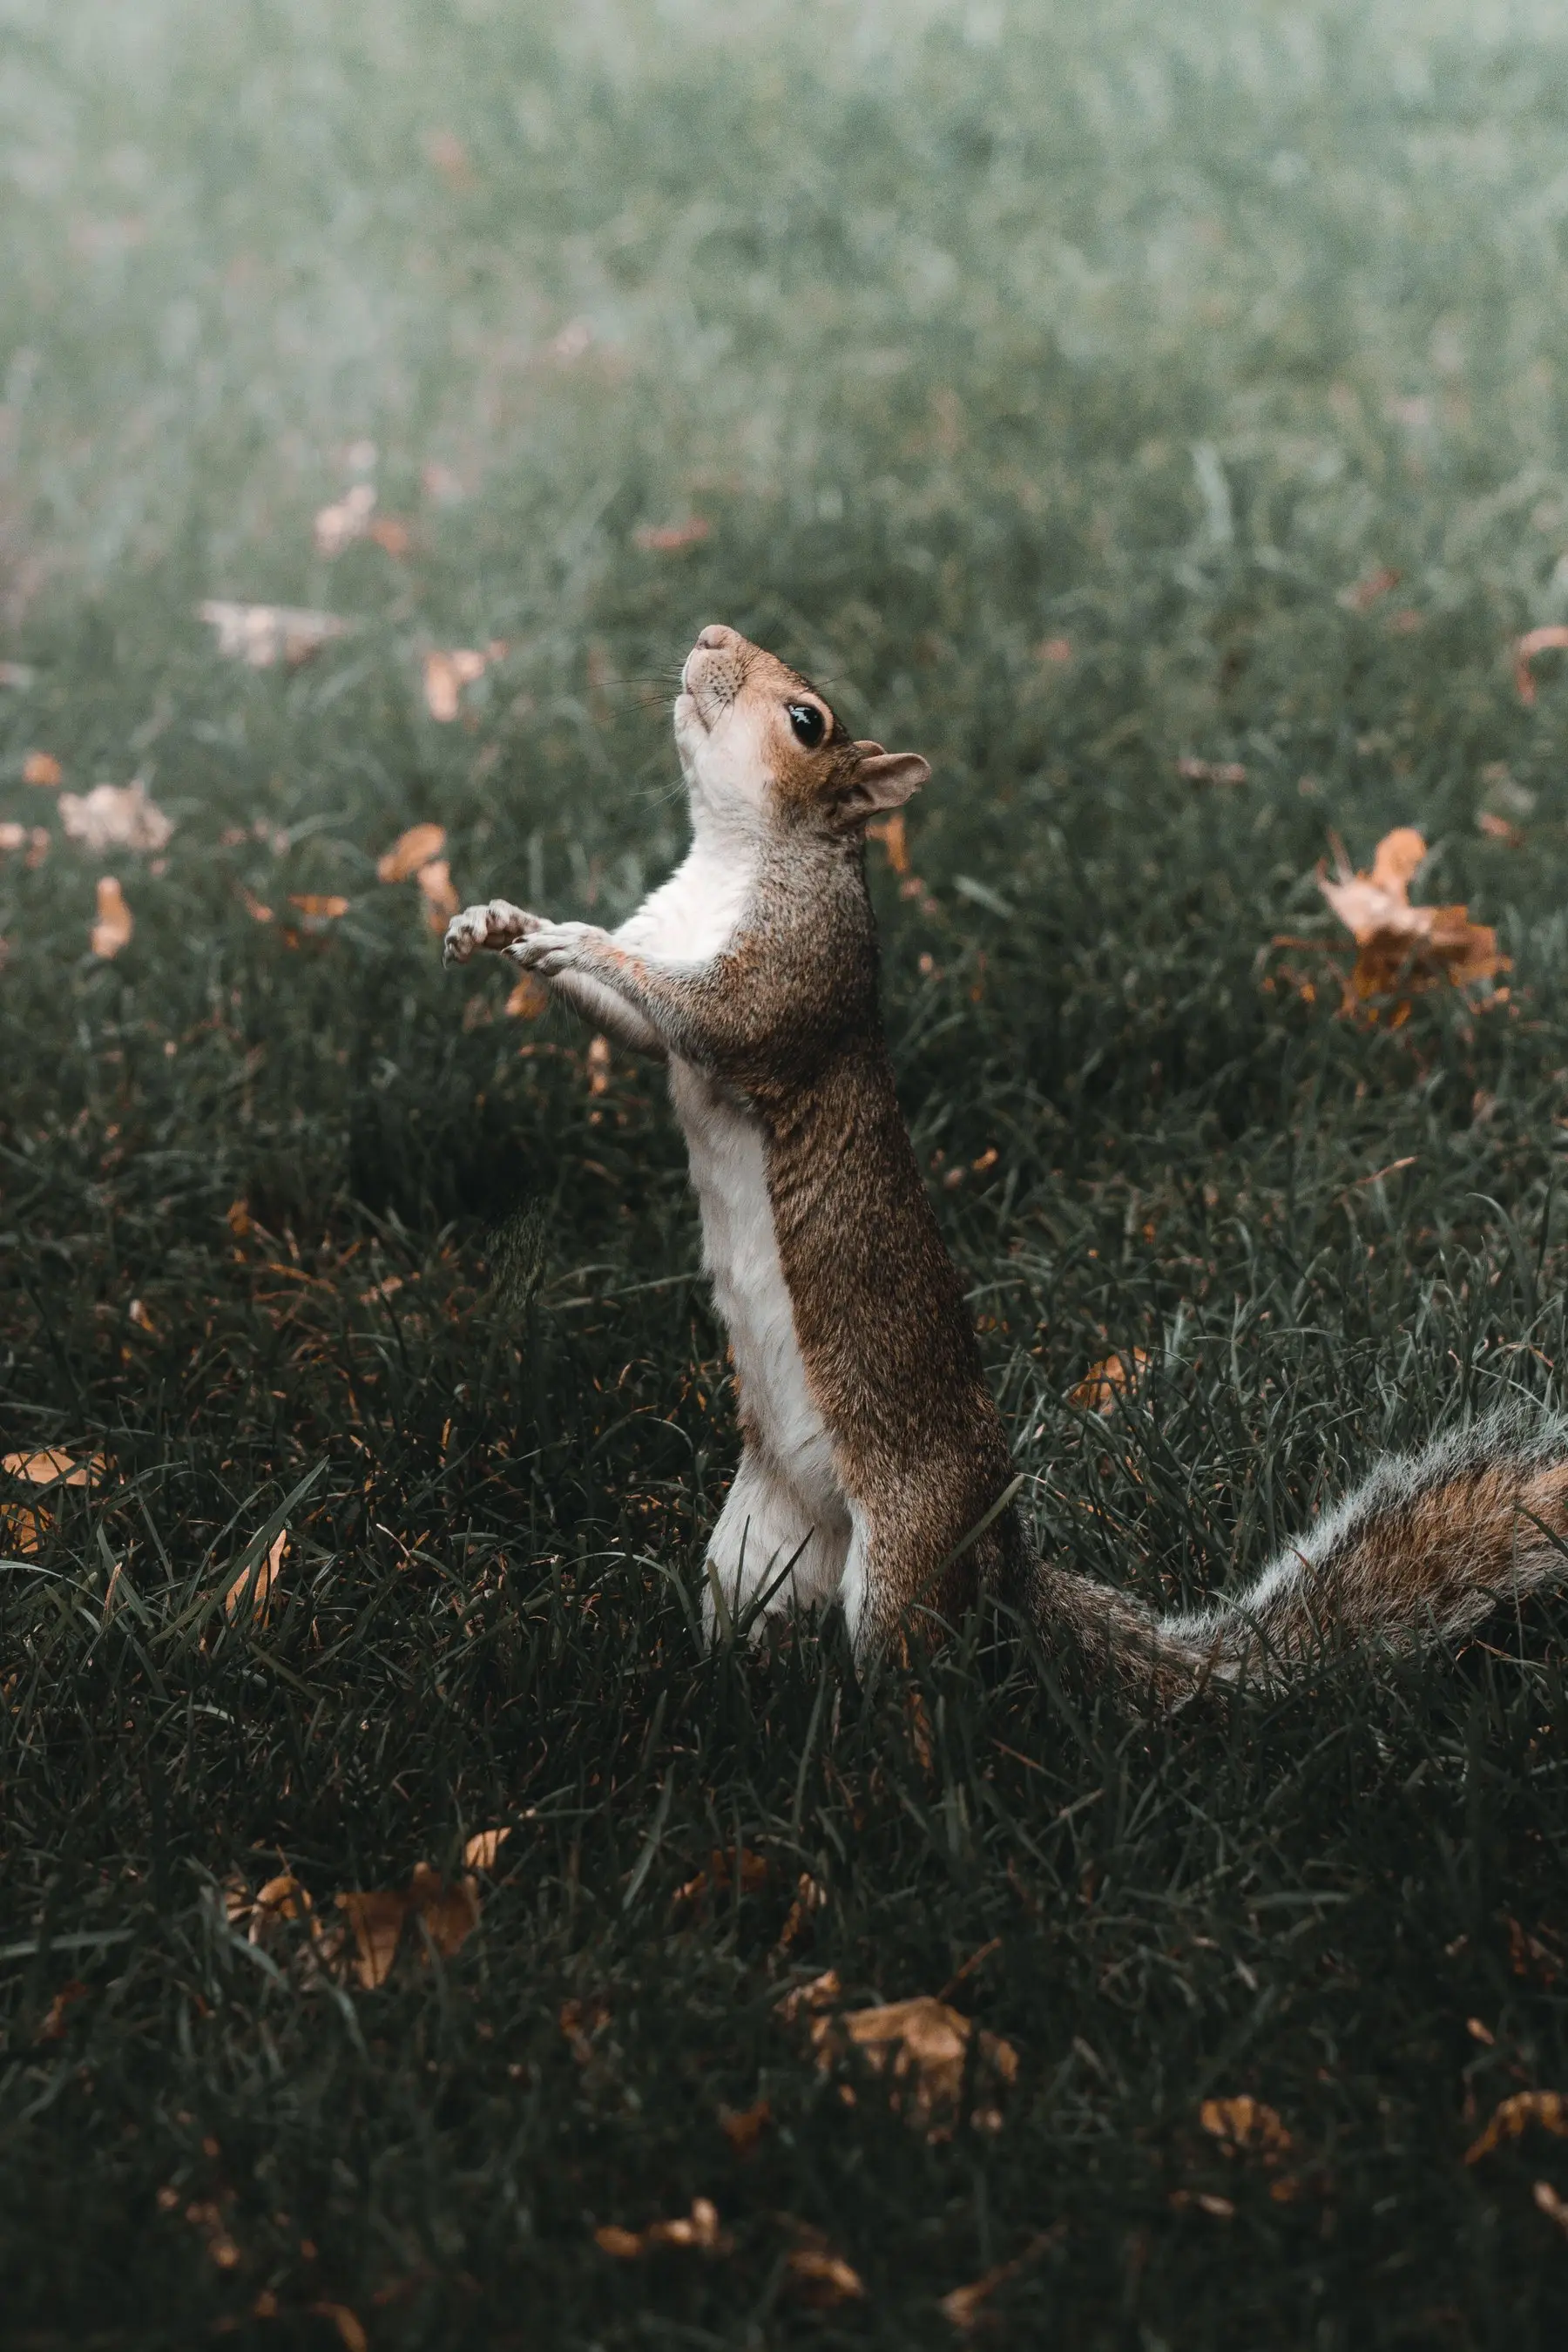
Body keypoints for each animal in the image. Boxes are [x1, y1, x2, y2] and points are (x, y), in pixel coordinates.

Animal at [444, 621, 1568, 1703]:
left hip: (907, 1559)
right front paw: (500, 923)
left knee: (931, 1694)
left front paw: (579, 943)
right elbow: (636, 1025)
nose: (712, 633)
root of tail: (1006, 1563)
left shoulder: (796, 973)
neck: (733, 857)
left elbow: (714, 1017)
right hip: (753, 1548)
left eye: (808, 720)